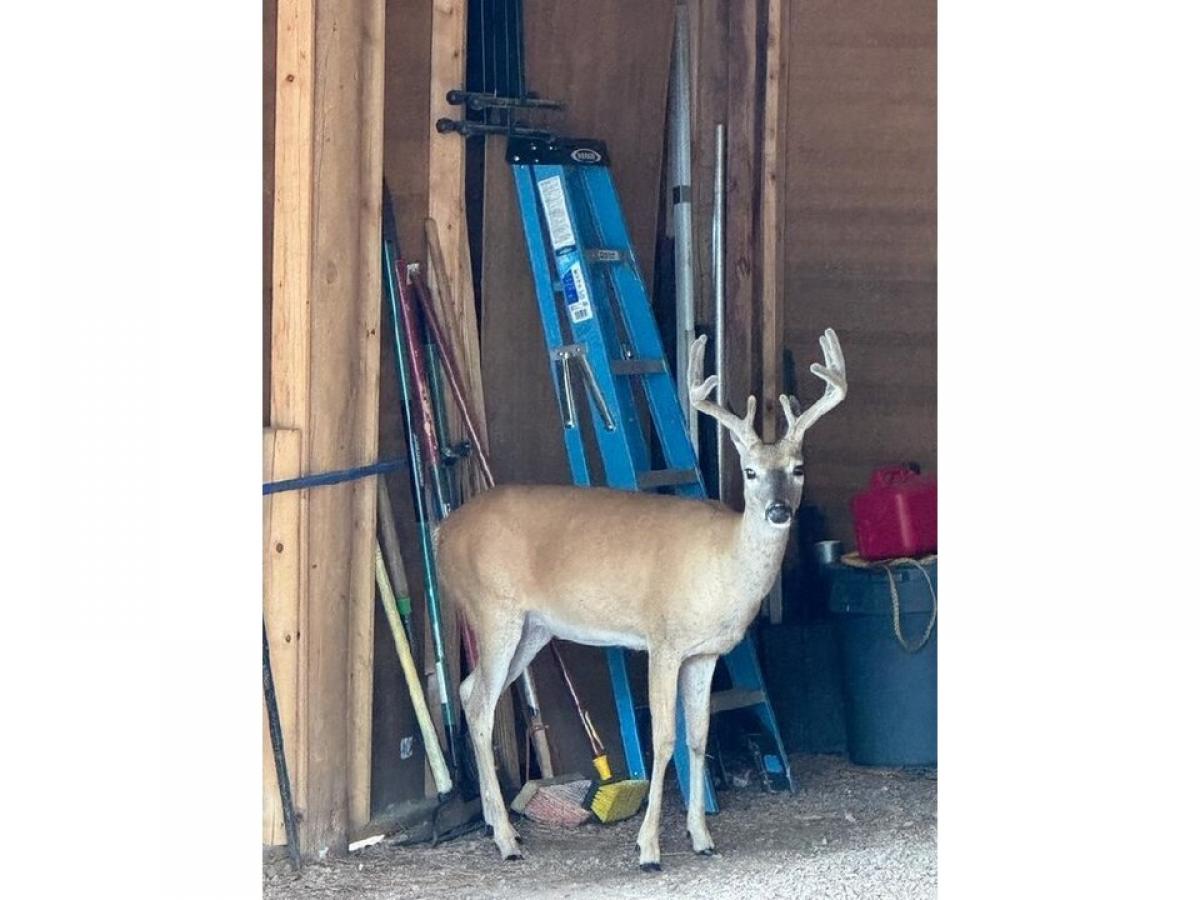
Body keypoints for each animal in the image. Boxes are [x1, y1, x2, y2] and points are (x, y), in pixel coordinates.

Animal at [436, 328, 849, 868]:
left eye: (798, 468)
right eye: (750, 471)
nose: (779, 511)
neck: (722, 567)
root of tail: (444, 531)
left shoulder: (705, 653)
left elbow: (698, 738)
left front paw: (701, 838)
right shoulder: (663, 639)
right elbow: (664, 738)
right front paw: (649, 848)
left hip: (534, 627)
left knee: (469, 692)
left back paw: (495, 823)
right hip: (493, 608)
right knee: (482, 705)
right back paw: (506, 840)